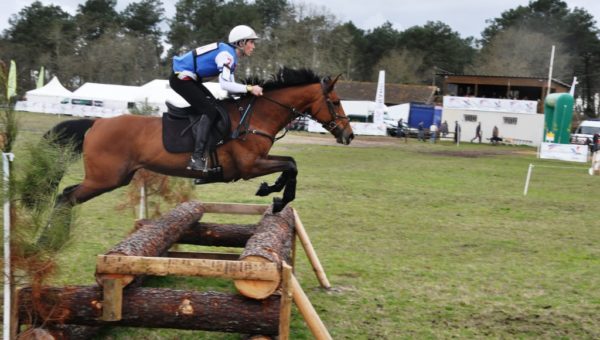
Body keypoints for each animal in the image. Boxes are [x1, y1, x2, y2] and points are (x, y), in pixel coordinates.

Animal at [28, 67, 354, 240]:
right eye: (336, 102)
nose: (349, 135)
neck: (255, 117)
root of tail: (97, 123)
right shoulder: (249, 165)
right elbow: (291, 165)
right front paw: (275, 196)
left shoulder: (254, 164)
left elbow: (290, 164)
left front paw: (272, 192)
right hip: (105, 178)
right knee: (66, 196)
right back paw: (47, 239)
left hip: (111, 178)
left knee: (67, 195)